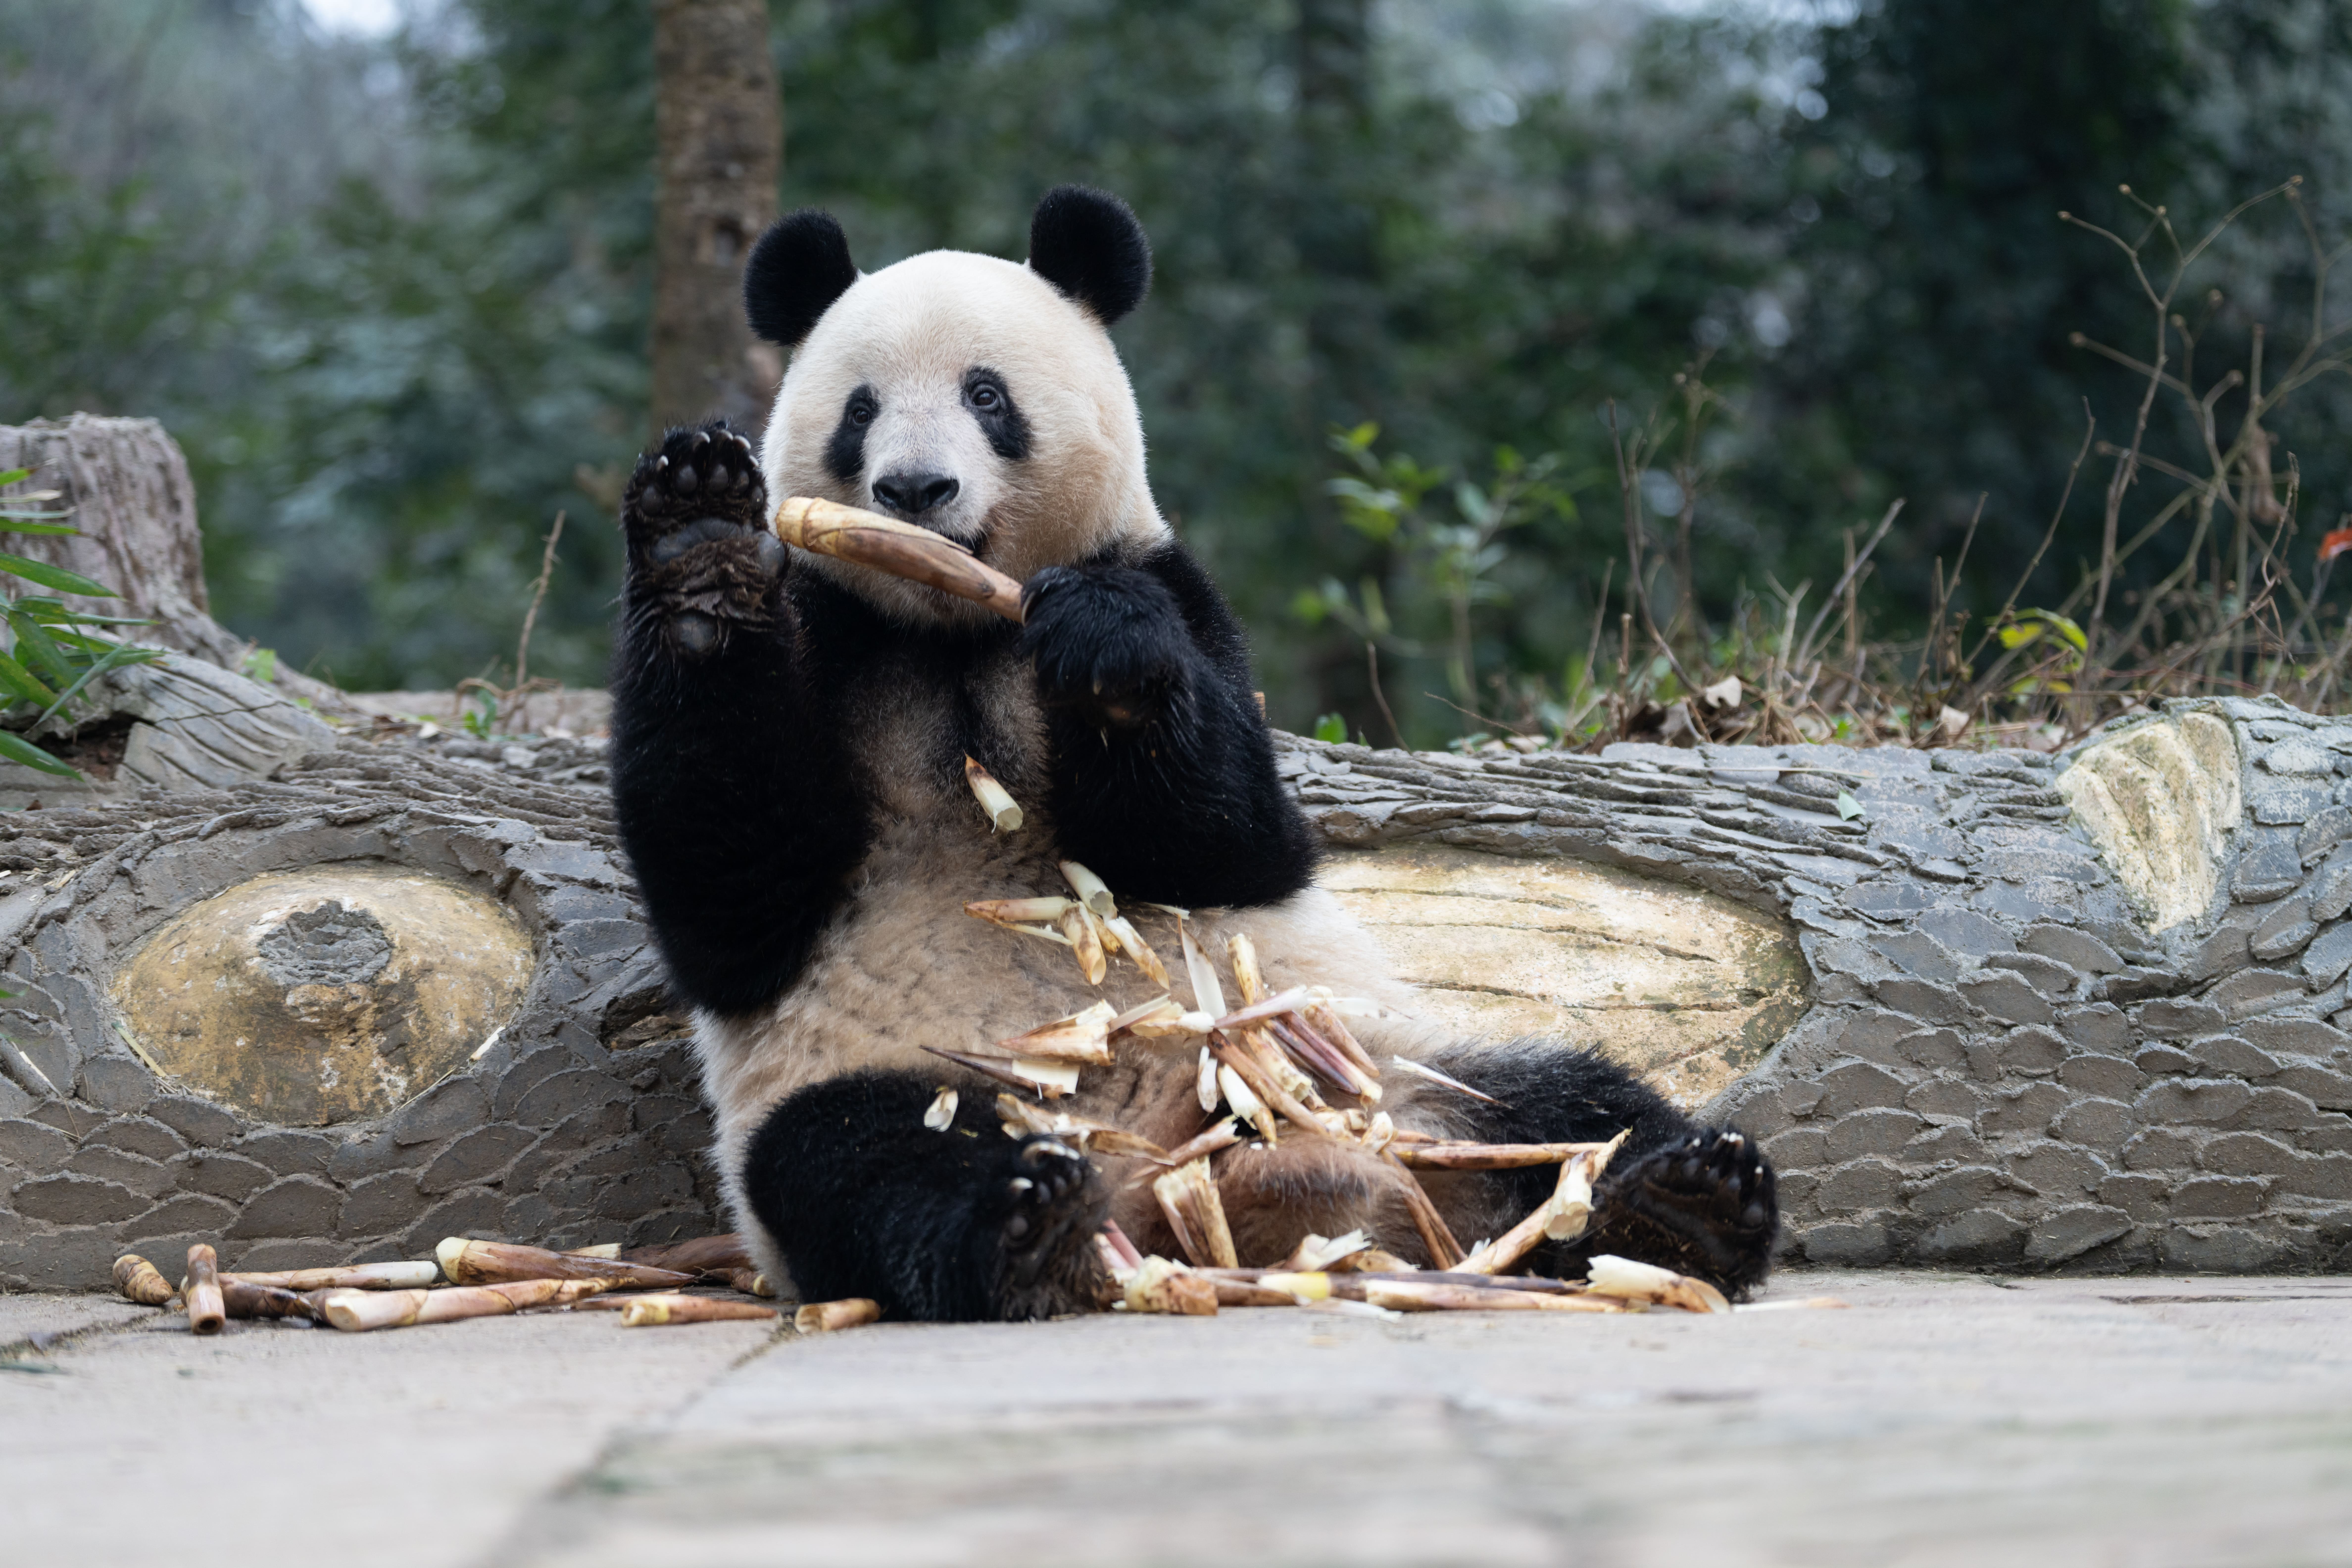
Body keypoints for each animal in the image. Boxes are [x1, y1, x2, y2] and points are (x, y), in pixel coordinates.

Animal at [608, 185, 1778, 1322]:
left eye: (987, 397)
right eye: (861, 411)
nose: (914, 492)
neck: (954, 629)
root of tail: (1184, 1176)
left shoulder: (1178, 590)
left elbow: (1229, 840)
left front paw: (1108, 650)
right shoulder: (833, 630)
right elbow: (737, 897)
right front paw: (703, 543)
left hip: (1369, 1057)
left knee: (1570, 1104)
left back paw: (1685, 1207)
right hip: (907, 1074)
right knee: (869, 1162)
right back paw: (1024, 1222)